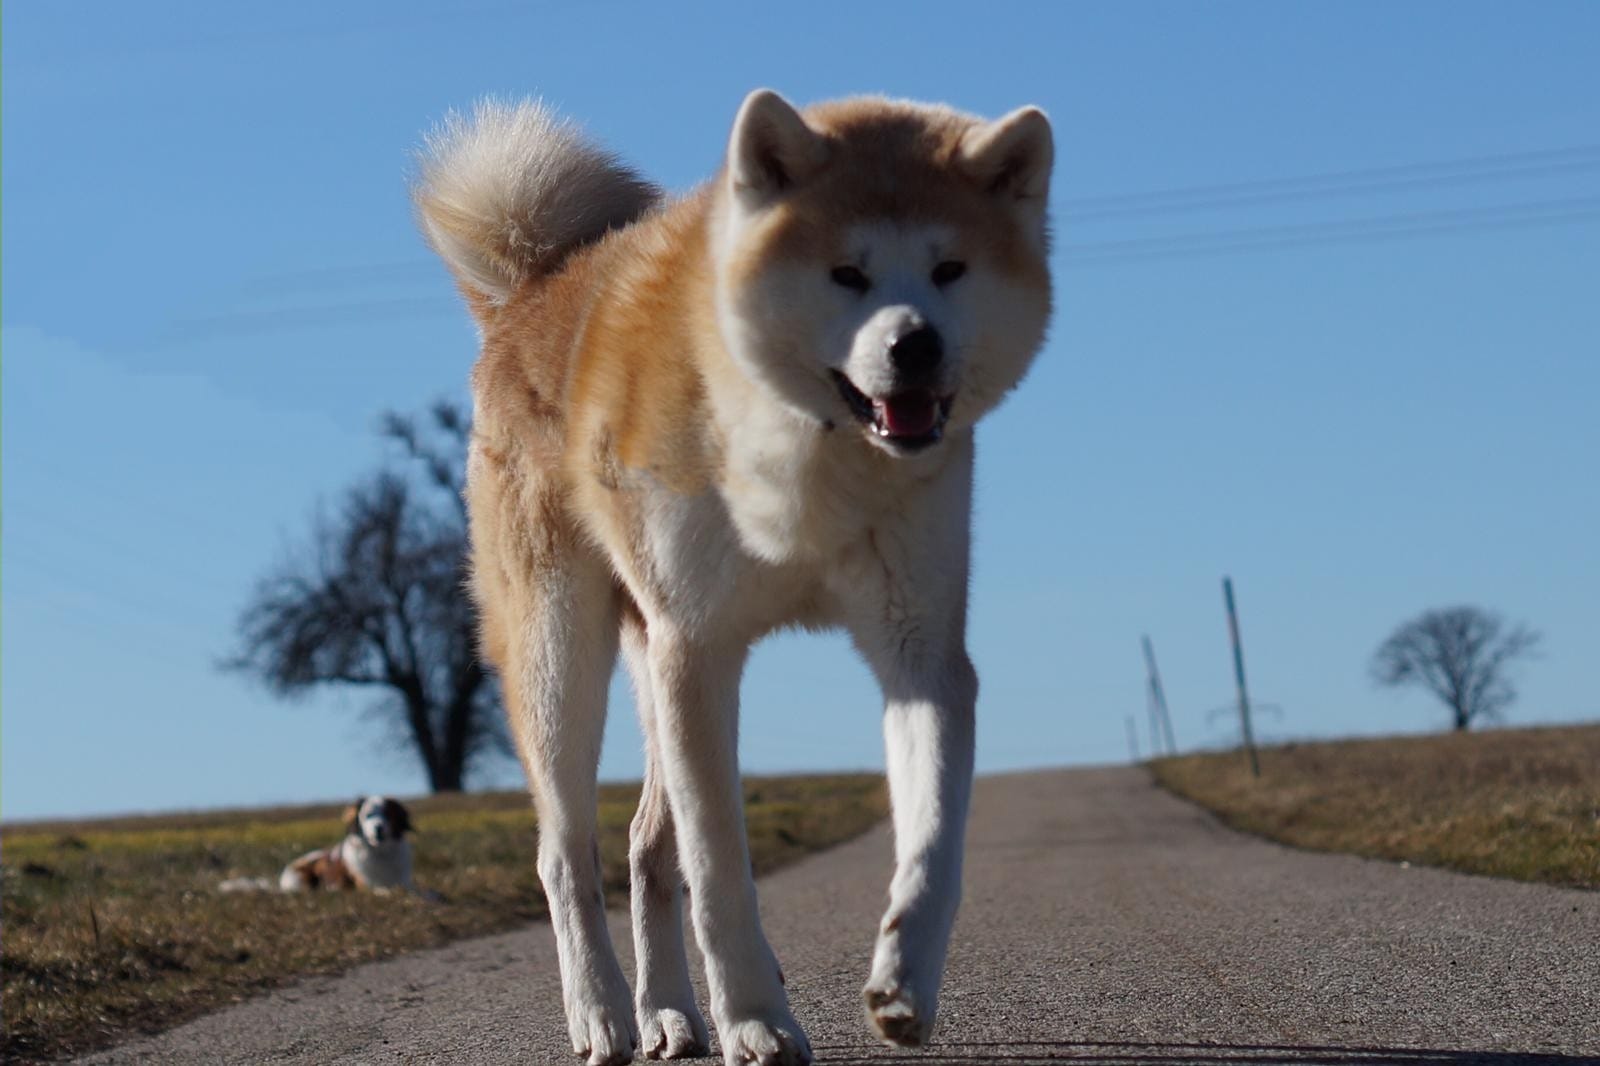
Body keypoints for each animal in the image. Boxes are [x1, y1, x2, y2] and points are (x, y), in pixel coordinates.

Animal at [419, 93, 1056, 1062]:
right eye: (846, 274)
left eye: (950, 268)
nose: (915, 346)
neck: (811, 450)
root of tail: (533, 289)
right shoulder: (698, 648)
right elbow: (720, 873)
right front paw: (756, 1017)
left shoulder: (921, 651)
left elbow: (934, 842)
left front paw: (903, 980)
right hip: (566, 656)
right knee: (566, 854)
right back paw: (603, 1013)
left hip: (649, 667)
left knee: (646, 845)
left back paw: (669, 1013)